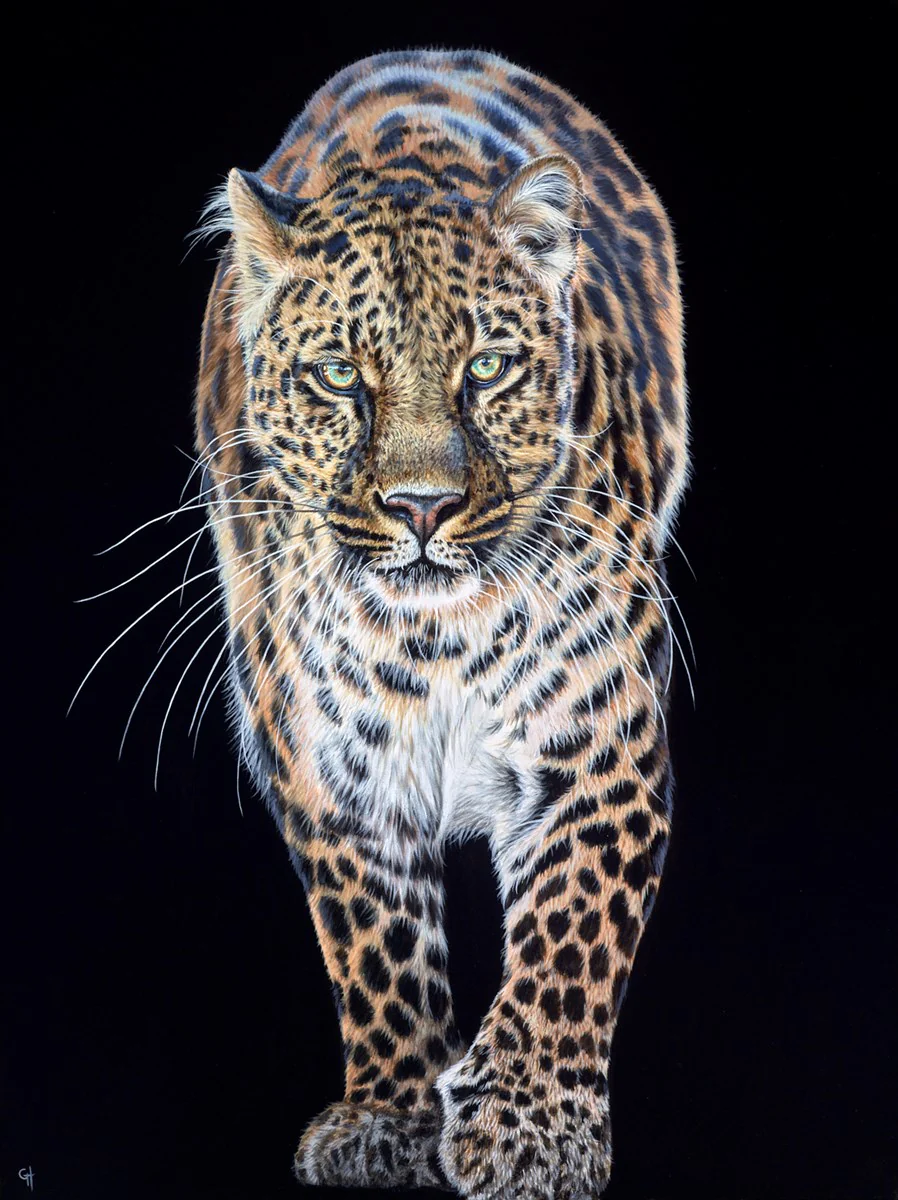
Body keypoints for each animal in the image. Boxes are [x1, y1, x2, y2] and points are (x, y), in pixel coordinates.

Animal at [192, 47, 688, 1199]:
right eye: (340, 376)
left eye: (488, 369)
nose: (421, 508)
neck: (435, 639)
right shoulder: (328, 765)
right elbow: (375, 939)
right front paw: (391, 1117)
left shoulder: (600, 741)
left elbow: (572, 930)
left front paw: (528, 1126)